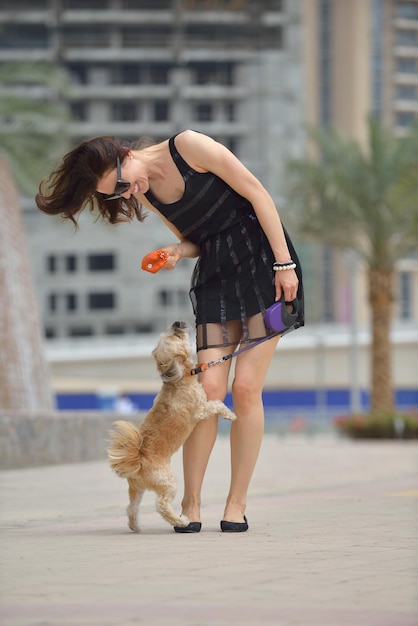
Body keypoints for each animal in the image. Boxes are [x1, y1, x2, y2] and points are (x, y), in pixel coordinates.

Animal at [108, 322, 235, 532]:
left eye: (172, 333)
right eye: (177, 337)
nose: (177, 324)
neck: (179, 378)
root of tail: (138, 460)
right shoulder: (201, 408)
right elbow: (216, 405)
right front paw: (230, 414)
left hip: (136, 489)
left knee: (132, 508)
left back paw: (136, 526)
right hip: (168, 482)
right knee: (161, 506)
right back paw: (181, 521)